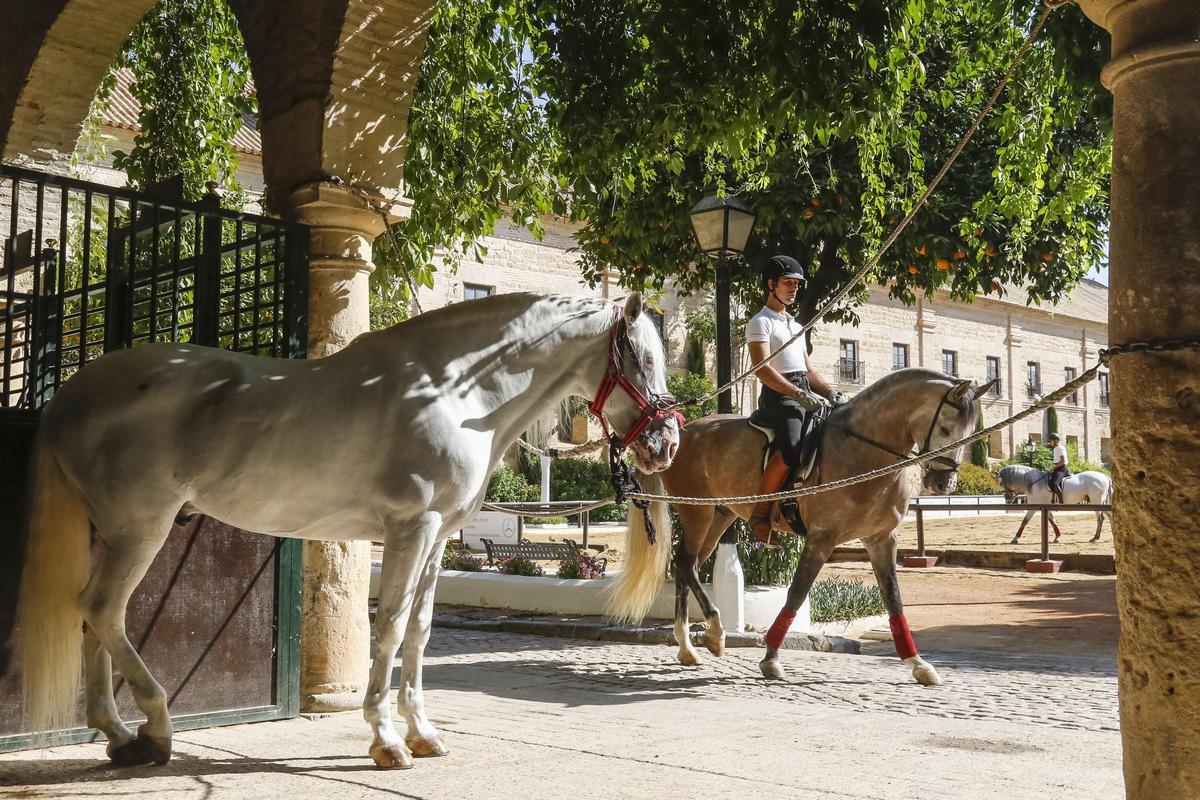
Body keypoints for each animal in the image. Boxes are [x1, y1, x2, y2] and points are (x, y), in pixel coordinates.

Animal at [8, 291, 680, 769]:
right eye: (644, 359)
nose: (666, 444)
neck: (453, 391)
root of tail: (71, 394)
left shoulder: (440, 538)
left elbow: (420, 632)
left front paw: (424, 733)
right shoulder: (411, 529)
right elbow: (388, 630)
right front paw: (387, 740)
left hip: (113, 532)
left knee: (97, 617)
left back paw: (121, 737)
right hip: (140, 528)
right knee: (103, 609)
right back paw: (154, 729)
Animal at [607, 369, 997, 686]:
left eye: (972, 434)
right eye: (946, 428)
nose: (944, 484)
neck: (864, 450)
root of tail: (679, 434)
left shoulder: (881, 540)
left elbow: (894, 601)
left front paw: (917, 663)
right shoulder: (822, 540)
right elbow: (796, 595)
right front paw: (770, 659)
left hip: (720, 516)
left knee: (686, 567)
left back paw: (690, 646)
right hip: (697, 514)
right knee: (686, 564)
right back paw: (712, 633)